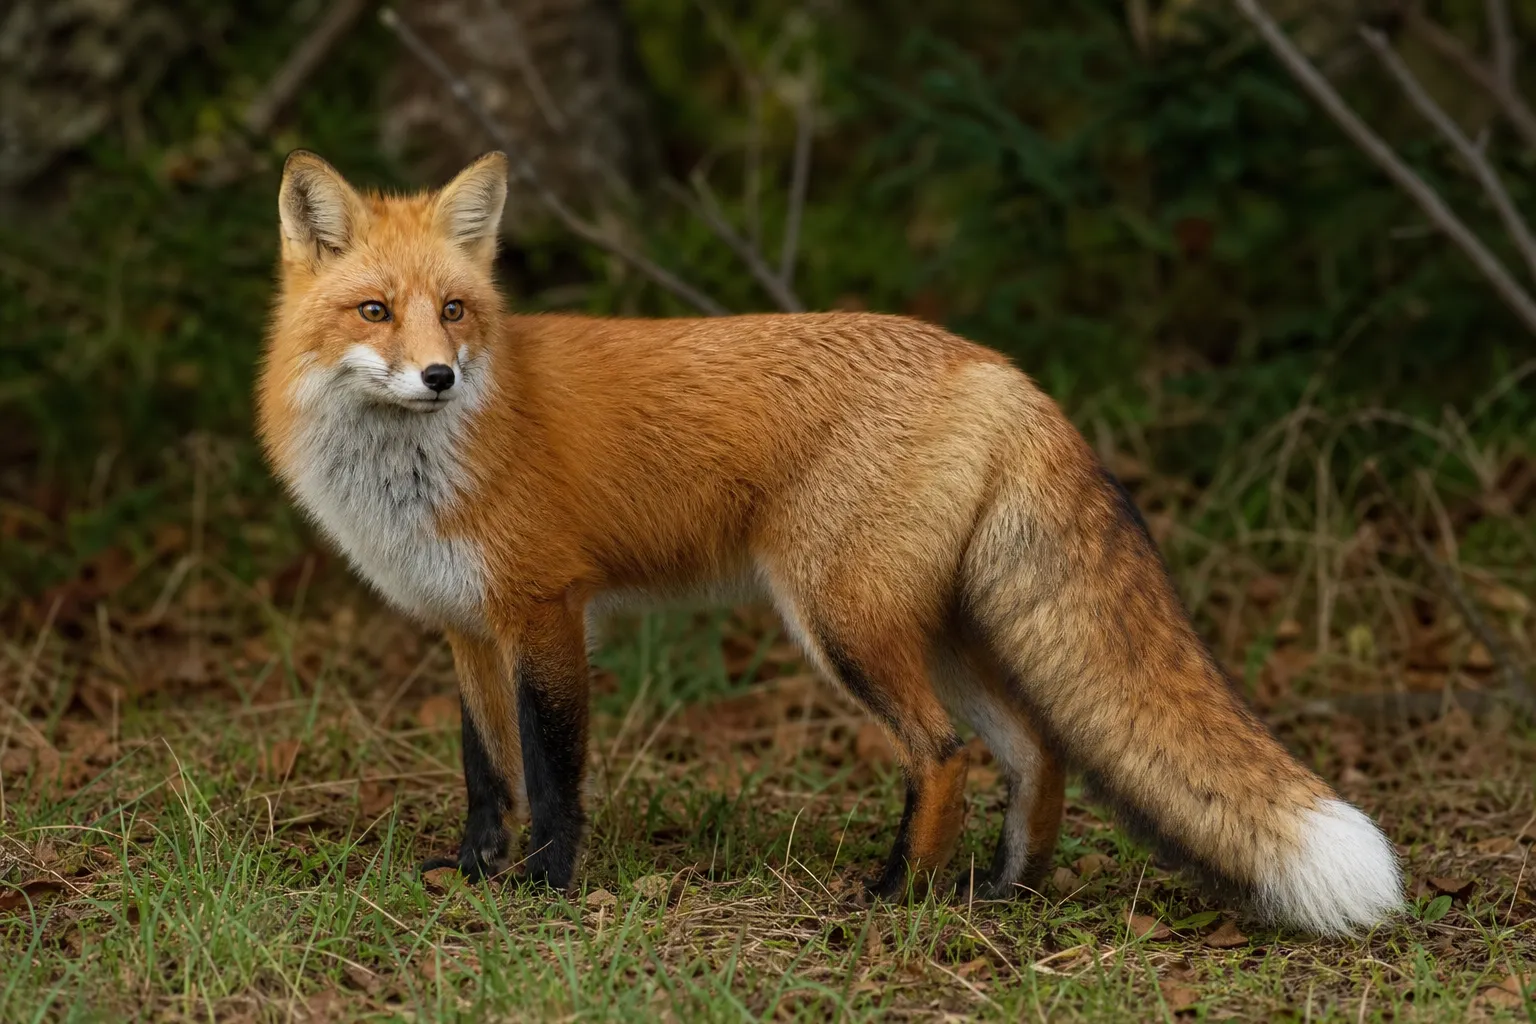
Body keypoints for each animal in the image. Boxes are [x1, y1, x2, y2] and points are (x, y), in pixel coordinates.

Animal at [256, 149, 1403, 936]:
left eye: (454, 310)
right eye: (375, 311)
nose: (439, 376)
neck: (416, 471)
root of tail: (998, 368)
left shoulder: (547, 609)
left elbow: (553, 769)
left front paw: (544, 887)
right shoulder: (464, 625)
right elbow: (487, 771)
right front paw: (473, 874)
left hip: (843, 623)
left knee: (942, 752)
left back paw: (896, 894)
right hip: (934, 629)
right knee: (1036, 750)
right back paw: (1002, 893)